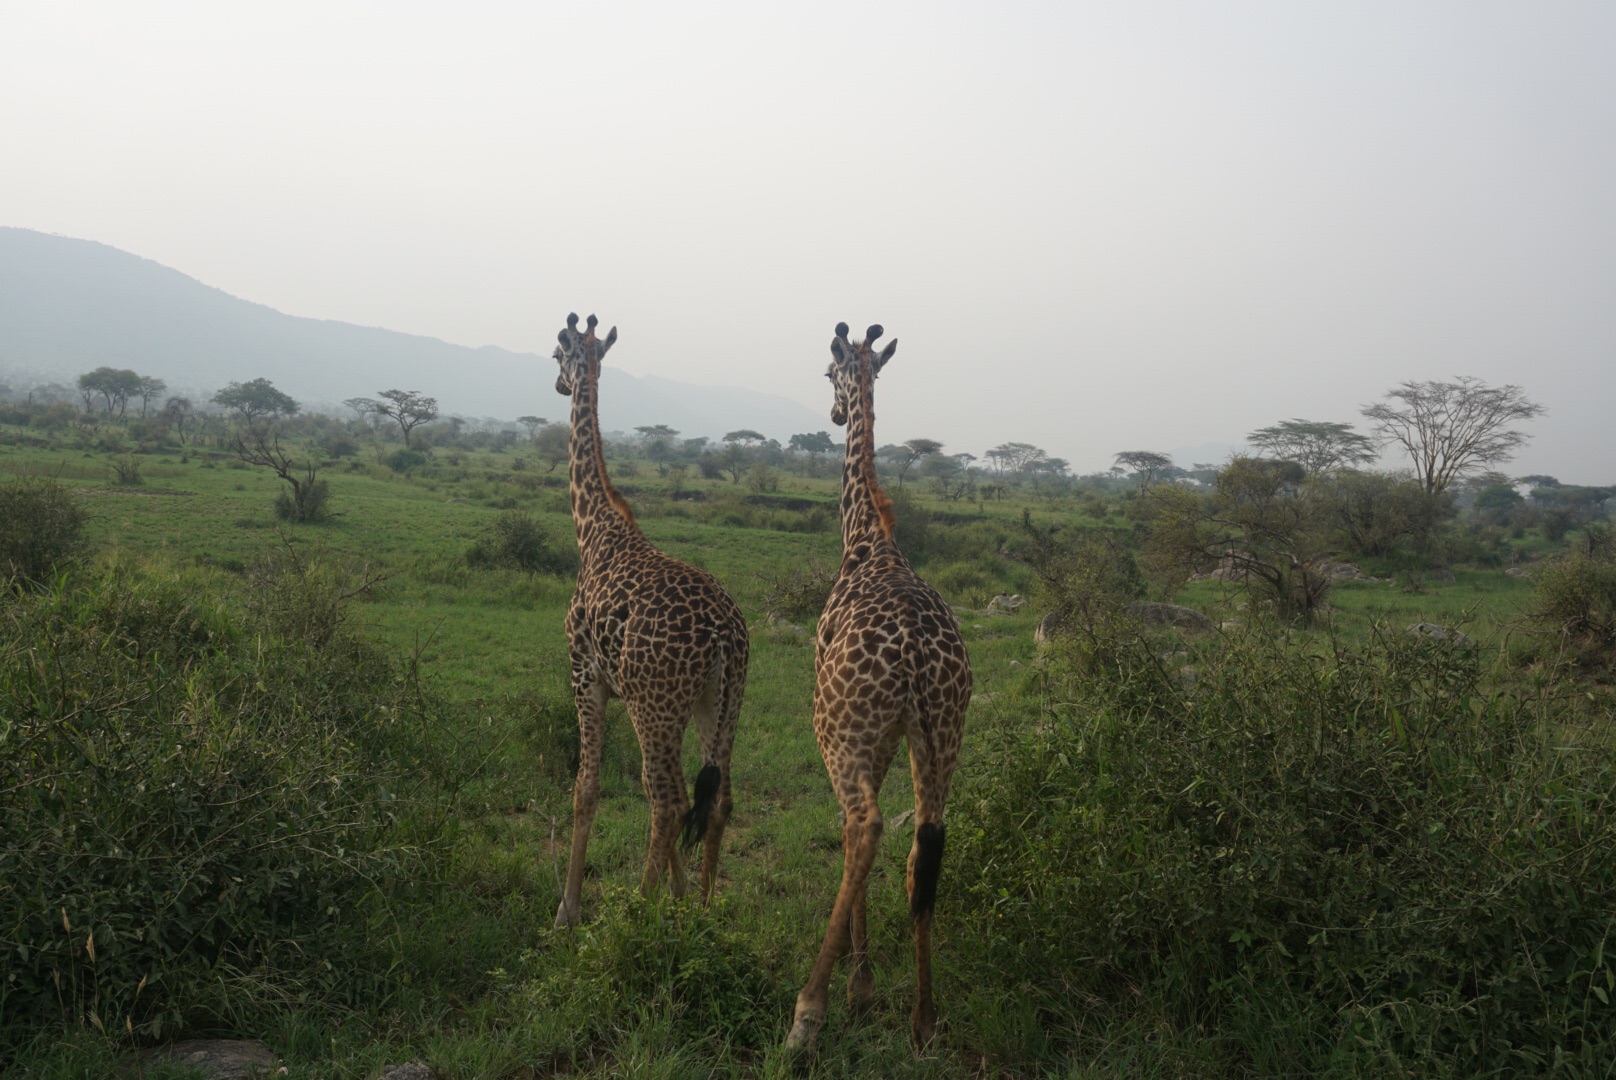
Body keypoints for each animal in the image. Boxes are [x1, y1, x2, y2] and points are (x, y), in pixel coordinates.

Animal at [542, 312, 743, 931]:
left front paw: (567, 909)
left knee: (669, 799)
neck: (592, 530)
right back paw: (701, 912)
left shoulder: (586, 676)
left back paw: (633, 914)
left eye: (556, 354)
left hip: (661, 703)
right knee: (714, 796)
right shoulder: (628, 691)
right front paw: (677, 897)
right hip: (716, 702)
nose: (558, 383)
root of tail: (726, 634)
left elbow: (586, 788)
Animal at [785, 324, 969, 1047]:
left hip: (837, 728)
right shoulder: (892, 734)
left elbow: (848, 829)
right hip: (942, 736)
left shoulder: (852, 730)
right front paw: (865, 983)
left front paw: (855, 988)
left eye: (825, 373)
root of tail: (917, 656)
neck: (866, 539)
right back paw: (924, 1017)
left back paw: (807, 1013)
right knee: (926, 845)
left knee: (865, 827)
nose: (837, 413)